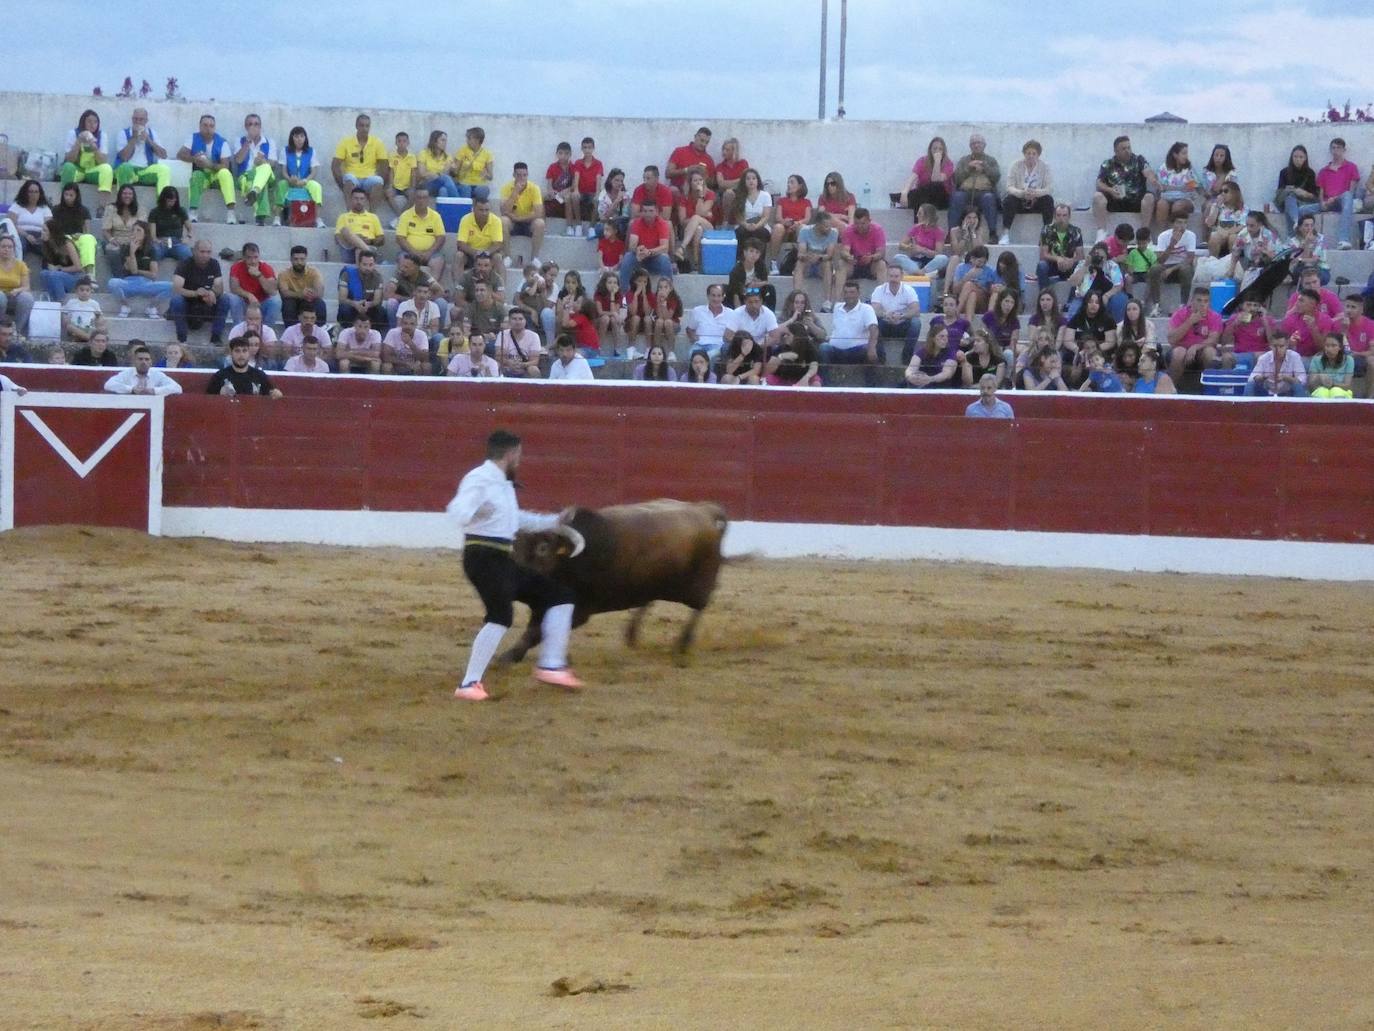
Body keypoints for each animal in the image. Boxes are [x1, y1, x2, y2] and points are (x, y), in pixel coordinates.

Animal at [502, 497, 730, 662]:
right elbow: (533, 629)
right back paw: (632, 635)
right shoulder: (542, 605)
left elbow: (538, 631)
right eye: (515, 546)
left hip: (698, 584)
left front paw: (508, 656)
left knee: (700, 606)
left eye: (543, 548)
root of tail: (705, 511)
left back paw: (682, 643)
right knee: (648, 602)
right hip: (651, 583)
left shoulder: (579, 610)